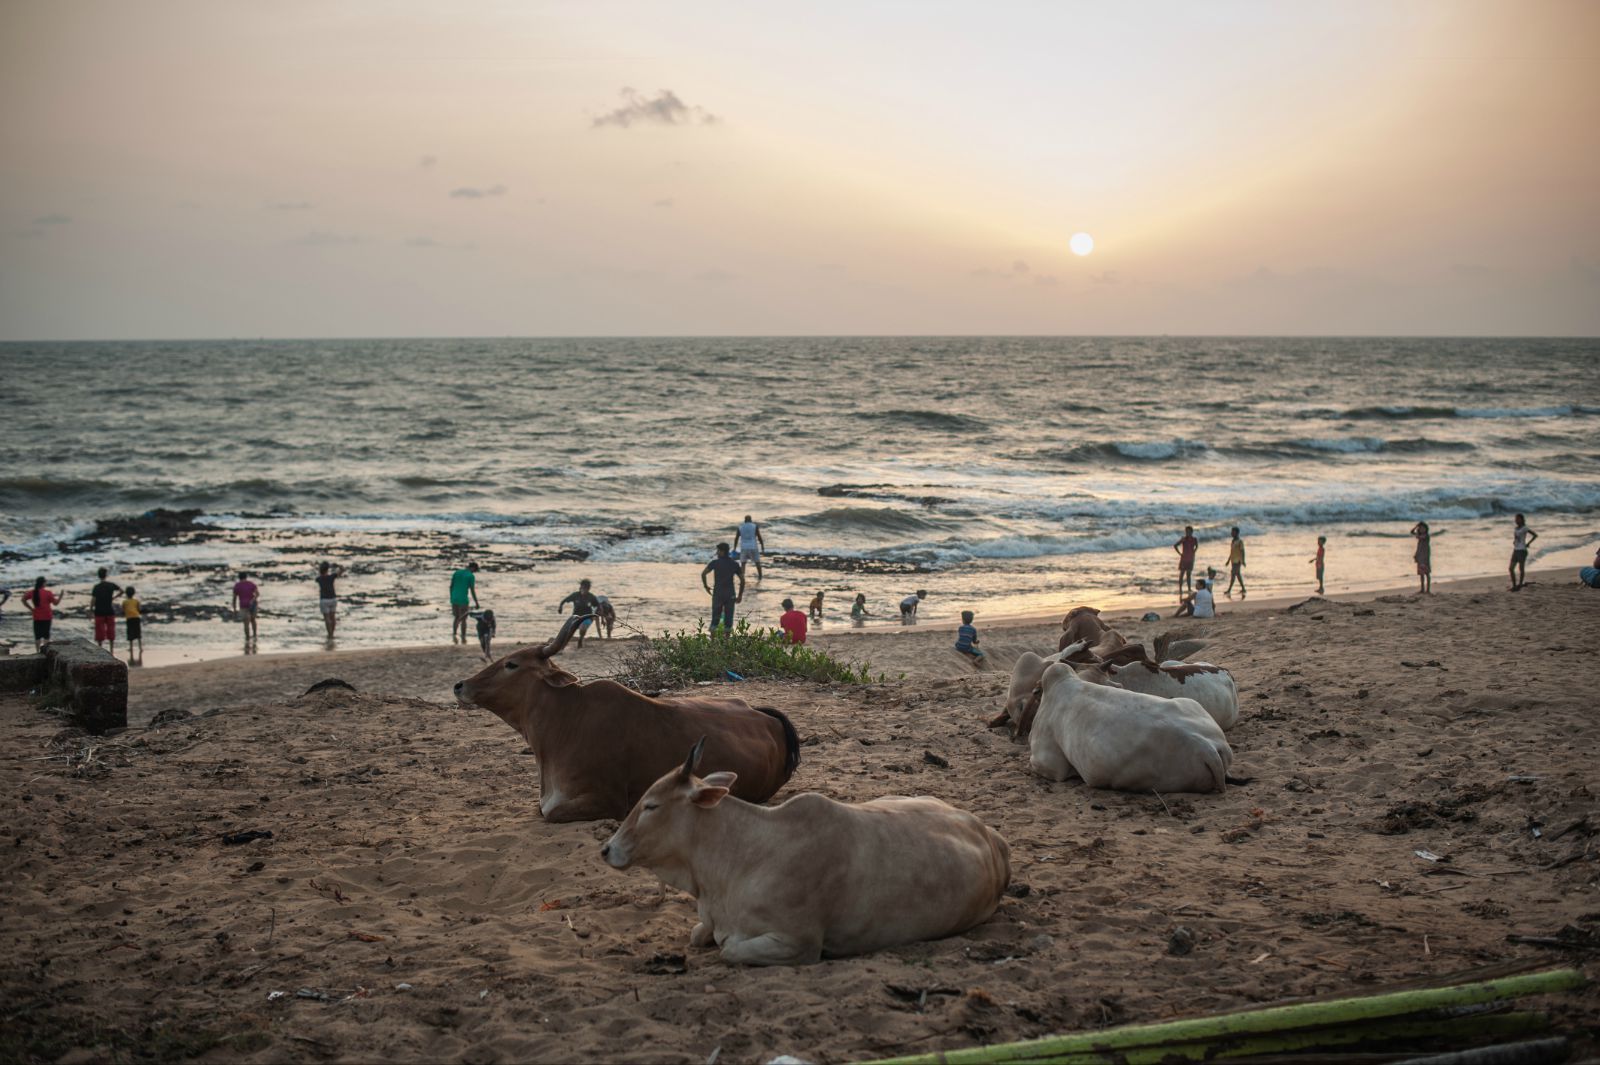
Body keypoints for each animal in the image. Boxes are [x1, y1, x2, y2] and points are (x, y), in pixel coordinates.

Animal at [451, 614, 800, 818]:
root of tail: (771, 722)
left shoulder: (609, 801)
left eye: (512, 664)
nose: (459, 685)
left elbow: (550, 813)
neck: (566, 720)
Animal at [601, 738, 1011, 959]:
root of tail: (992, 837)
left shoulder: (799, 943)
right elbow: (698, 934)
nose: (607, 849)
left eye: (651, 805)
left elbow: (730, 948)